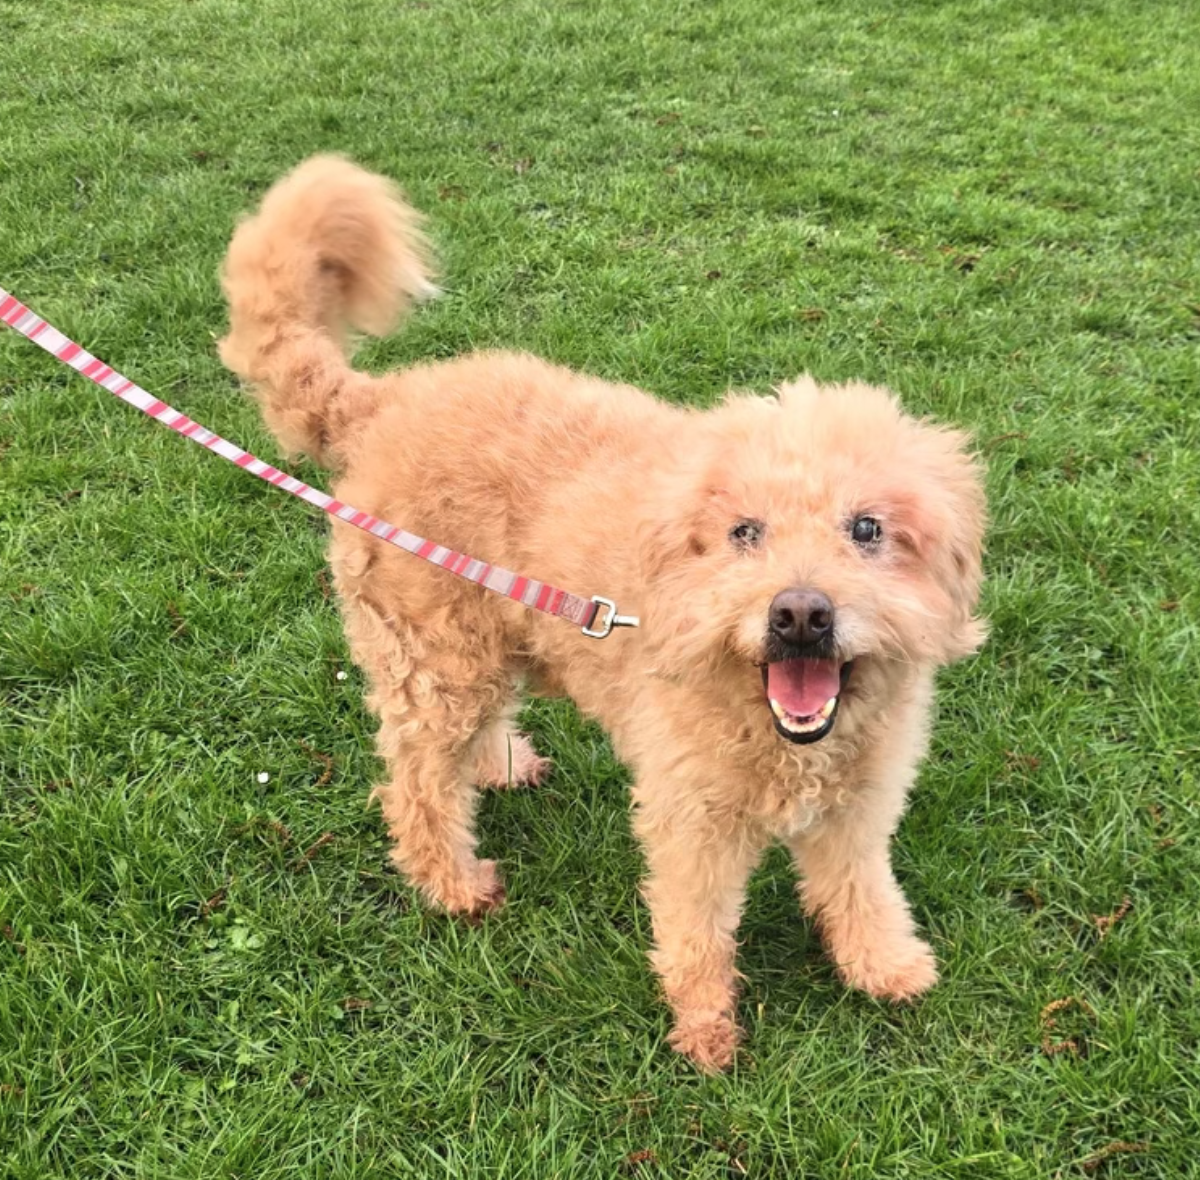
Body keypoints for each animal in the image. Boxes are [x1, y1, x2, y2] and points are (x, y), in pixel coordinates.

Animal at [219, 156, 987, 1072]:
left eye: (868, 529)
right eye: (744, 532)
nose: (801, 614)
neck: (784, 740)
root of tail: (380, 402)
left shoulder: (860, 808)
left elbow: (859, 885)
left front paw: (885, 964)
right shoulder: (689, 819)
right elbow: (696, 928)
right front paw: (705, 1031)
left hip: (489, 638)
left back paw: (502, 765)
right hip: (435, 654)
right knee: (415, 783)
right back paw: (453, 883)